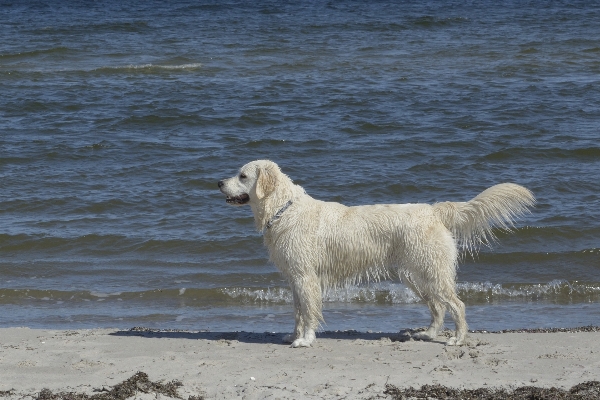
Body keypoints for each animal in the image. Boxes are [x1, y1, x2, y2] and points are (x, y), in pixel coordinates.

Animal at [217, 159, 536, 346]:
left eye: (242, 175)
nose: (218, 182)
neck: (284, 210)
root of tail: (433, 210)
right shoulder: (295, 278)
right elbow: (298, 312)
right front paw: (292, 335)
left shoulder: (306, 278)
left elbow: (308, 312)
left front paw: (305, 340)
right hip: (414, 277)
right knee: (438, 307)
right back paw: (428, 334)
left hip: (431, 272)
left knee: (457, 305)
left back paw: (456, 339)